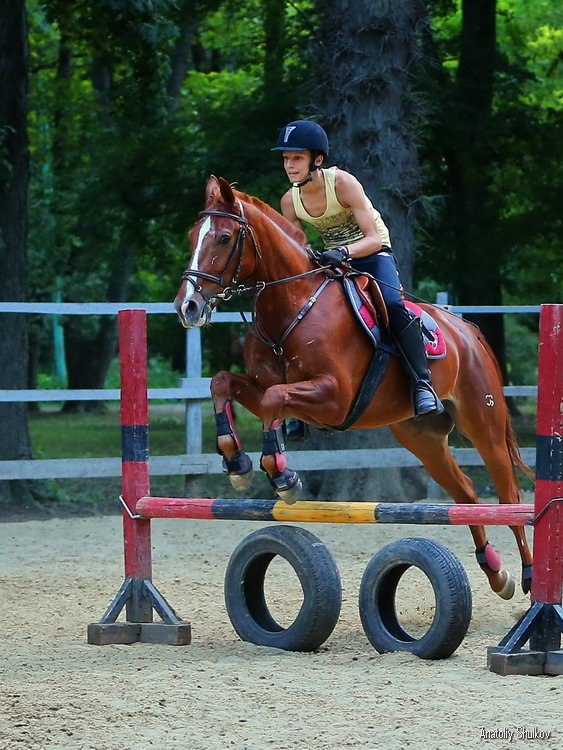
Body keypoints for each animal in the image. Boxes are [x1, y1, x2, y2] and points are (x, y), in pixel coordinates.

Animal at [174, 173, 536, 604]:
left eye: (225, 238)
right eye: (192, 235)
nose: (187, 307)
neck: (291, 304)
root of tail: (470, 331)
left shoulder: (335, 398)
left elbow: (274, 401)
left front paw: (281, 476)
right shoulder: (268, 387)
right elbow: (224, 384)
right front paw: (237, 463)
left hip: (485, 423)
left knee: (510, 498)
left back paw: (529, 576)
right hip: (422, 437)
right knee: (466, 495)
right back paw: (496, 573)